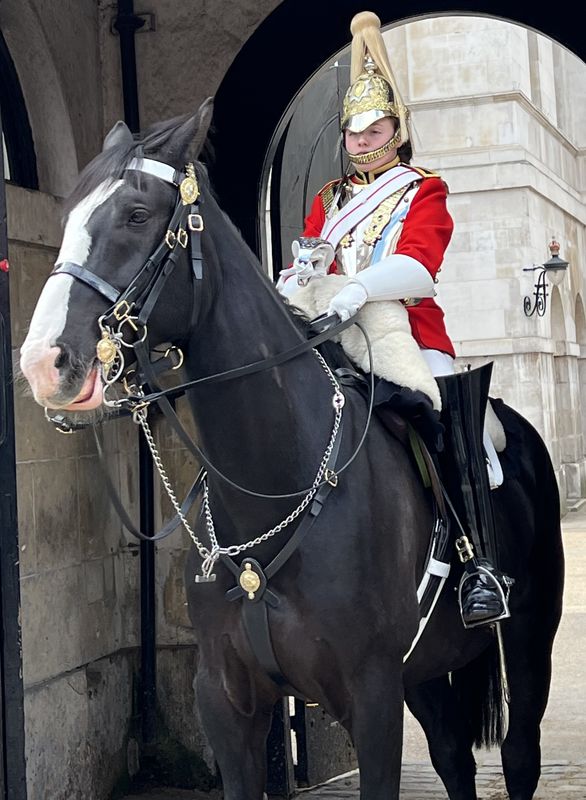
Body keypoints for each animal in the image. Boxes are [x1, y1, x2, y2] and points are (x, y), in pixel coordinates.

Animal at [21, 103, 560, 796]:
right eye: (66, 217)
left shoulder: (372, 696)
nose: (43, 363)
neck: (271, 485)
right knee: (452, 755)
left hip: (527, 639)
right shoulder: (226, 703)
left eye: (137, 215)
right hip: (426, 671)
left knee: (519, 754)